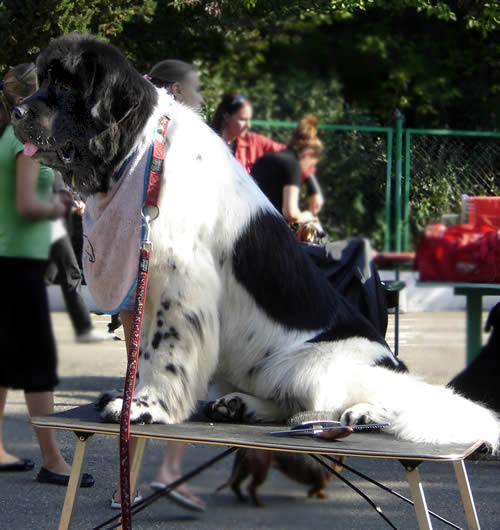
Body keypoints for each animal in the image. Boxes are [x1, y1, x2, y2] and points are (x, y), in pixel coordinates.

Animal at [13, 34, 498, 450]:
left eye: (63, 84)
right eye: (41, 80)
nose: (16, 112)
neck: (138, 151)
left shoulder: (176, 280)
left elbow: (159, 350)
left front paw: (145, 407)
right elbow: (137, 352)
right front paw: (131, 395)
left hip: (317, 365)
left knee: (375, 398)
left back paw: (363, 413)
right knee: (292, 403)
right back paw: (239, 405)